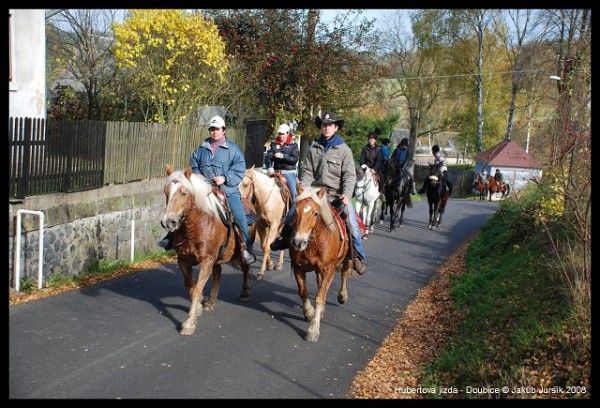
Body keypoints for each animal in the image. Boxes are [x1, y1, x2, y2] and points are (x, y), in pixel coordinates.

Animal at [161, 164, 254, 336]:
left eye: (183, 192)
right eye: (166, 191)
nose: (168, 222)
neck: (195, 227)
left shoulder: (206, 260)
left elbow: (197, 289)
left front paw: (189, 323)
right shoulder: (183, 260)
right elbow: (191, 287)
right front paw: (197, 307)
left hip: (240, 251)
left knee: (245, 267)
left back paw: (245, 293)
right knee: (218, 273)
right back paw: (211, 301)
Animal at [290, 185, 356, 342]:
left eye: (315, 213)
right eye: (296, 211)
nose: (298, 242)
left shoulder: (329, 269)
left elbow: (320, 297)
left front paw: (313, 330)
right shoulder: (297, 267)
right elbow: (303, 292)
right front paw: (309, 313)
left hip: (346, 259)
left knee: (344, 273)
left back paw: (342, 296)